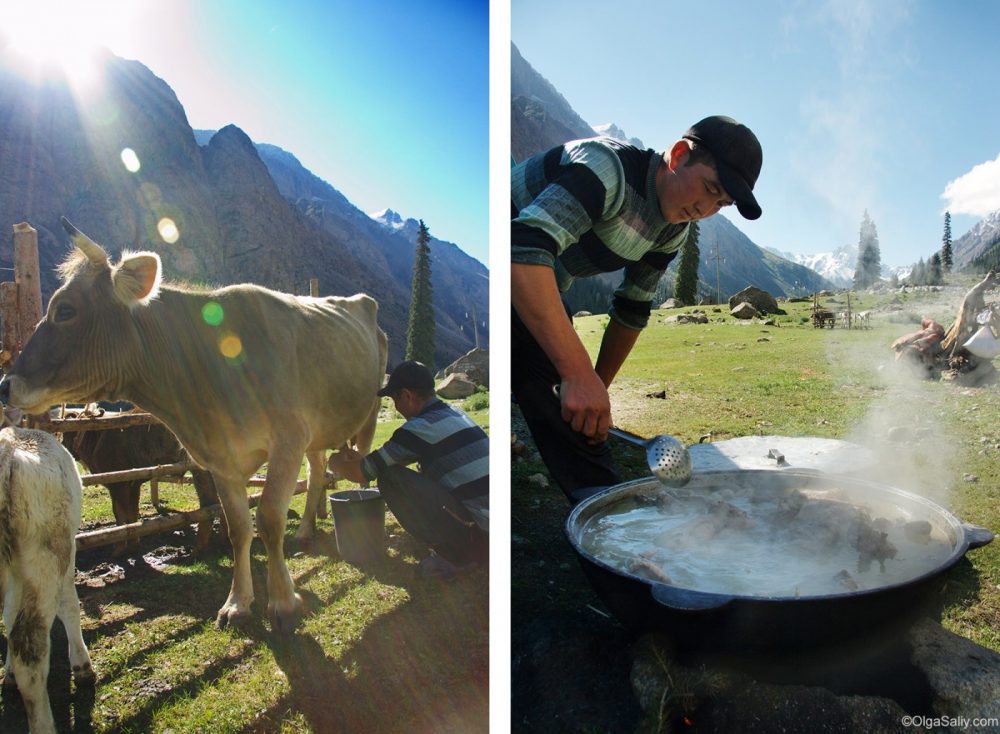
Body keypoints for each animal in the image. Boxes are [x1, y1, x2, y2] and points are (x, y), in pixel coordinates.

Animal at [0, 218, 386, 632]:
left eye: (65, 310)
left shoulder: (287, 440)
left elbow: (268, 519)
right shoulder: (222, 457)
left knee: (361, 464)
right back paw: (306, 531)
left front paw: (283, 602)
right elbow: (238, 527)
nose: (6, 384)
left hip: (366, 410)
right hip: (315, 430)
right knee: (316, 471)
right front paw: (237, 603)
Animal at [0, 426, 94, 734]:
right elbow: (70, 603)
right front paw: (82, 664)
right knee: (29, 644)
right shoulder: (69, 545)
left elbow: (9, 613)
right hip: (49, 552)